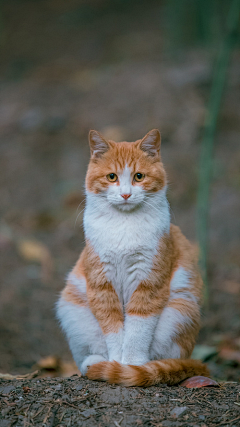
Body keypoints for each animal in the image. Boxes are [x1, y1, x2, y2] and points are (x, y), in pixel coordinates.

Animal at [56, 129, 208, 386]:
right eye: (111, 177)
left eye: (139, 176)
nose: (125, 194)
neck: (124, 224)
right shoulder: (102, 284)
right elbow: (114, 328)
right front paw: (116, 364)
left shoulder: (149, 282)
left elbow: (138, 329)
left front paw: (132, 366)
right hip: (74, 311)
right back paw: (94, 363)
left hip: (180, 310)